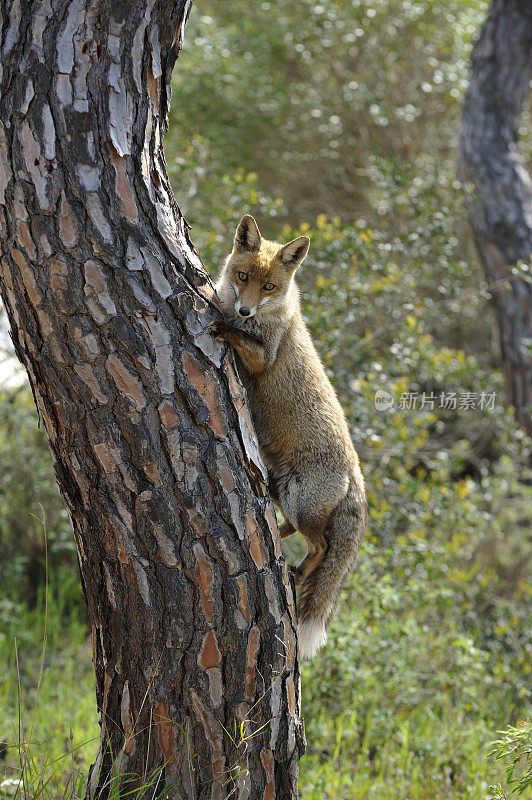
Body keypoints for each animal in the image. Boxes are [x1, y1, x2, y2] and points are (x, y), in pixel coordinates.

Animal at [210, 214, 368, 656]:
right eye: (243, 276)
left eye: (269, 287)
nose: (245, 308)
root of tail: (357, 474)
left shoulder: (263, 357)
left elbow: (242, 338)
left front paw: (224, 322)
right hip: (282, 490)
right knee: (295, 532)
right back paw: (278, 547)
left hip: (300, 500)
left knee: (320, 546)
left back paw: (296, 570)